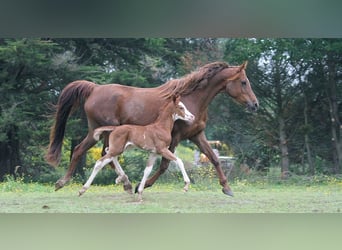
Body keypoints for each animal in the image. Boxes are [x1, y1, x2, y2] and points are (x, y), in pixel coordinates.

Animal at [46, 60, 260, 195]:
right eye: (243, 82)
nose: (255, 105)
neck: (193, 98)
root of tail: (94, 88)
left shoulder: (197, 134)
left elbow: (214, 158)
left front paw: (227, 188)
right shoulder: (174, 138)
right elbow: (165, 165)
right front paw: (144, 185)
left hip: (98, 132)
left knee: (87, 151)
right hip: (107, 131)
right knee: (104, 155)